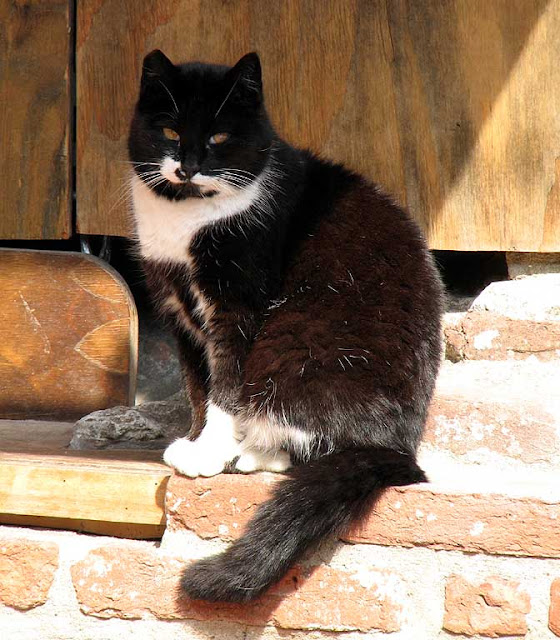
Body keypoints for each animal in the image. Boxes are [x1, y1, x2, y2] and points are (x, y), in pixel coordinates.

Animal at [129, 51, 444, 604]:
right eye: (168, 129)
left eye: (218, 137)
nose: (187, 165)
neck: (186, 218)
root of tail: (397, 447)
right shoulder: (177, 311)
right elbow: (195, 386)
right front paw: (195, 439)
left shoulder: (239, 308)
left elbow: (225, 387)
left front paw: (208, 451)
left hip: (291, 347)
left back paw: (245, 452)